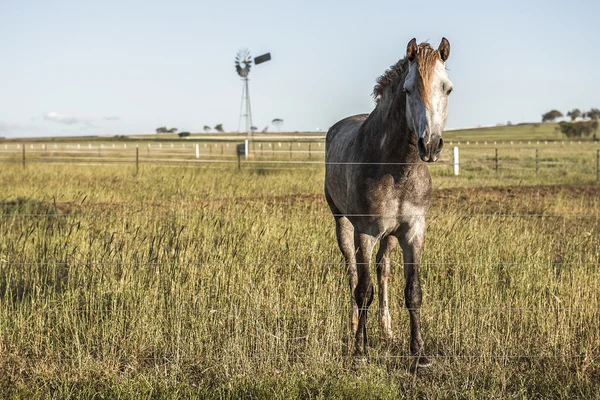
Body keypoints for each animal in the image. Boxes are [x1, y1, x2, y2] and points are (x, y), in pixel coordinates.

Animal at [326, 37, 452, 368]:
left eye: (447, 88)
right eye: (407, 90)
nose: (429, 145)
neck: (396, 168)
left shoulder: (413, 231)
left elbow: (413, 291)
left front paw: (418, 354)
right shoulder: (365, 232)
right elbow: (362, 291)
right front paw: (359, 352)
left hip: (390, 237)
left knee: (382, 271)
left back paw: (386, 329)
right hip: (343, 225)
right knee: (353, 274)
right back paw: (355, 329)